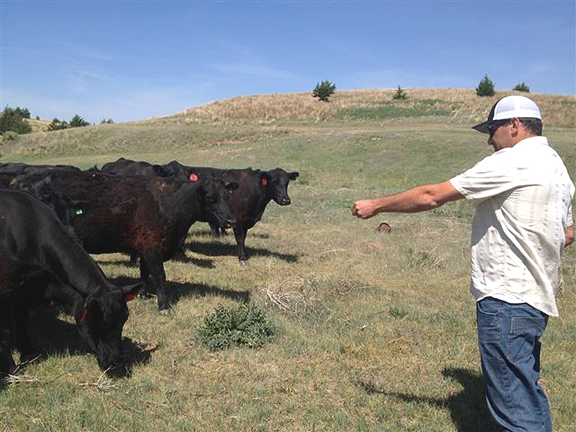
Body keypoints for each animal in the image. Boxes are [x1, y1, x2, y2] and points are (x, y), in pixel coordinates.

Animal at [0, 189, 141, 374]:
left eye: (124, 319)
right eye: (97, 320)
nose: (116, 360)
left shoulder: (25, 290)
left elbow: (21, 320)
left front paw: (28, 351)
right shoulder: (6, 291)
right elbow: (6, 331)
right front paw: (11, 368)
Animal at [14, 168, 238, 310]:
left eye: (227, 196)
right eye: (210, 198)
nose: (231, 220)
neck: (169, 203)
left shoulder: (144, 246)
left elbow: (144, 273)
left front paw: (144, 294)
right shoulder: (152, 248)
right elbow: (159, 276)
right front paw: (164, 306)